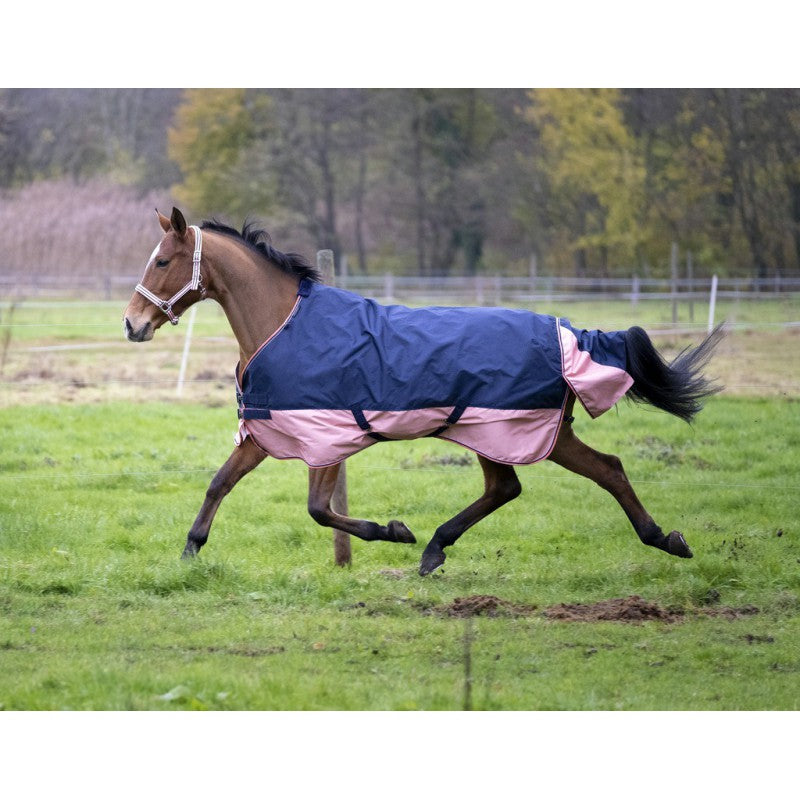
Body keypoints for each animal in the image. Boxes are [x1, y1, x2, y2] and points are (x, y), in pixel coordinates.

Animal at [123, 207, 722, 576]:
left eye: (162, 260)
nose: (132, 324)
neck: (283, 323)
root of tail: (571, 335)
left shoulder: (323, 439)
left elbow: (320, 510)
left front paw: (392, 530)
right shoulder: (269, 430)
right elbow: (219, 484)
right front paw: (189, 553)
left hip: (523, 432)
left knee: (602, 471)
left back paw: (663, 539)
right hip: (498, 433)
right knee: (512, 488)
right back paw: (437, 548)